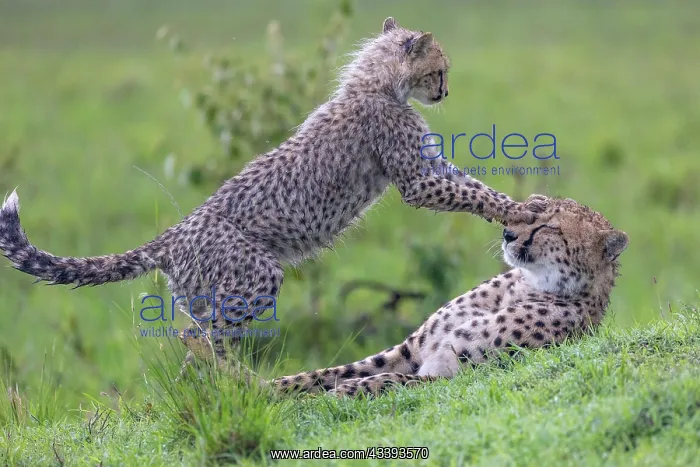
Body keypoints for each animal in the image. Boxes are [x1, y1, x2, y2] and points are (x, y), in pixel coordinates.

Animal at [0, 17, 538, 376]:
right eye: (440, 70)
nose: (445, 93)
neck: (377, 84)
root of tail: (172, 235)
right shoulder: (416, 180)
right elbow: (468, 194)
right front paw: (517, 209)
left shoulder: (429, 167)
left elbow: (472, 186)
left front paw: (527, 206)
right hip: (255, 276)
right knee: (196, 334)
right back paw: (231, 379)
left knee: (198, 338)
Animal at [271, 195, 629, 397]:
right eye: (525, 211)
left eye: (548, 227)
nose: (507, 233)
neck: (528, 287)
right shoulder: (409, 351)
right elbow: (331, 372)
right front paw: (269, 389)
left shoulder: (466, 374)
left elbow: (396, 380)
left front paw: (347, 391)